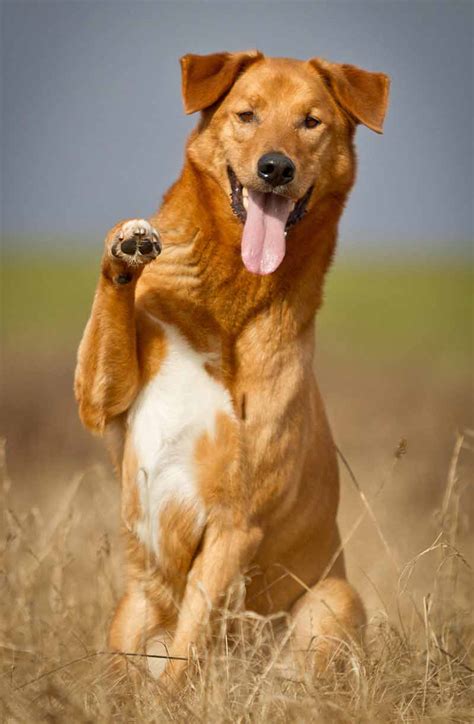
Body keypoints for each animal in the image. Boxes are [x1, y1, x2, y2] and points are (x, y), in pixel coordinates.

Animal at [75, 49, 388, 684]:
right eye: (247, 114)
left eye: (311, 122)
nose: (275, 168)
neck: (226, 297)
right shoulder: (99, 400)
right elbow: (106, 331)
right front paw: (127, 246)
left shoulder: (236, 523)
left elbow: (188, 648)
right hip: (129, 612)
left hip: (332, 600)